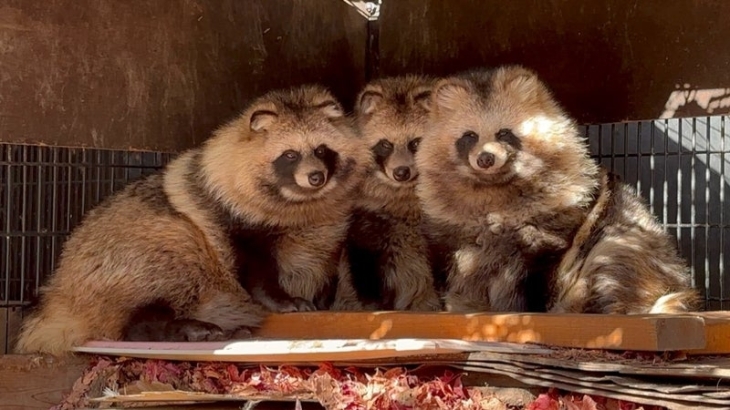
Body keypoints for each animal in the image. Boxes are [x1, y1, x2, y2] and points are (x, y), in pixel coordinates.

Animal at [12, 84, 362, 356]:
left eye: (322, 150)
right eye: (290, 155)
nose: (316, 177)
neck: (302, 203)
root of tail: (59, 295)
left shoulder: (330, 233)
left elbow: (327, 264)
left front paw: (323, 298)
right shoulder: (229, 220)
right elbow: (255, 271)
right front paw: (280, 299)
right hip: (131, 257)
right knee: (164, 276)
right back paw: (174, 326)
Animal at [332, 75, 444, 310]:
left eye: (416, 143)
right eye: (385, 145)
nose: (401, 172)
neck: (404, 193)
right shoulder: (366, 218)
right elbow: (362, 268)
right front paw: (375, 308)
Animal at [412, 65, 696, 314]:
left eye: (504, 133)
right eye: (469, 135)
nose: (485, 159)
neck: (494, 189)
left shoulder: (557, 230)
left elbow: (542, 272)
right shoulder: (448, 237)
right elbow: (455, 270)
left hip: (630, 249)